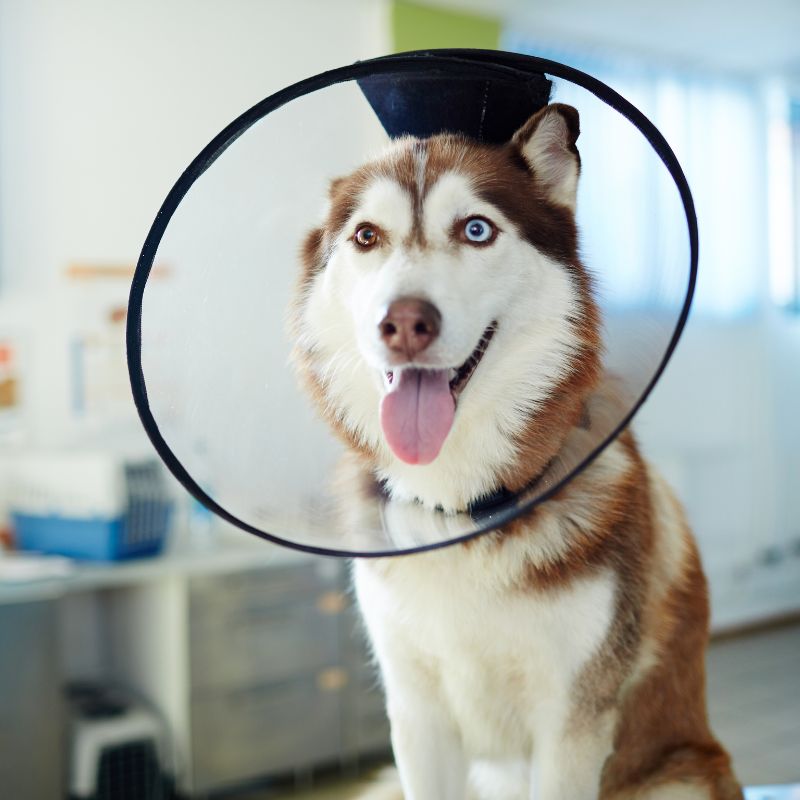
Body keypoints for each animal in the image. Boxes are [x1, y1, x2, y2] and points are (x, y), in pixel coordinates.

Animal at [290, 103, 744, 796]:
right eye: (366, 236)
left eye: (476, 229)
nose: (403, 323)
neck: (463, 511)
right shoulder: (415, 718)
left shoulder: (571, 723)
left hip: (680, 775)